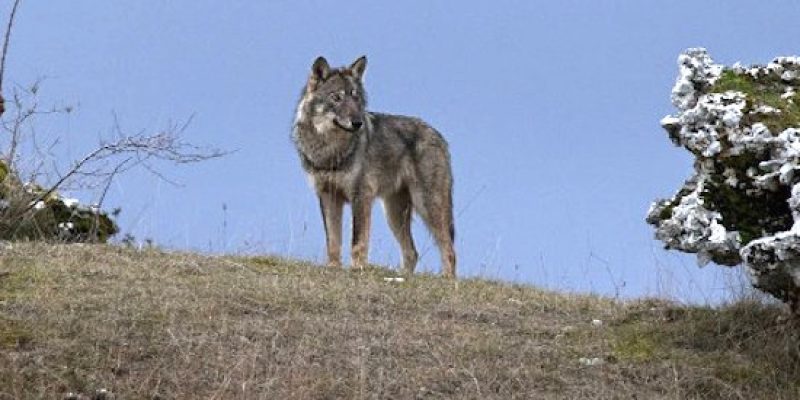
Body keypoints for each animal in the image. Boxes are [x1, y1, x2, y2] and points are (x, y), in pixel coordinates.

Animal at [294, 55, 456, 278]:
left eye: (356, 98)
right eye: (336, 97)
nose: (357, 123)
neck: (329, 149)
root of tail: (438, 136)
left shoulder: (361, 196)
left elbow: (357, 240)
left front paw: (357, 268)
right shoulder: (328, 196)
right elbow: (333, 241)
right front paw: (333, 267)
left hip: (427, 205)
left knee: (448, 248)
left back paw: (448, 279)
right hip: (394, 214)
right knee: (412, 252)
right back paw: (403, 276)